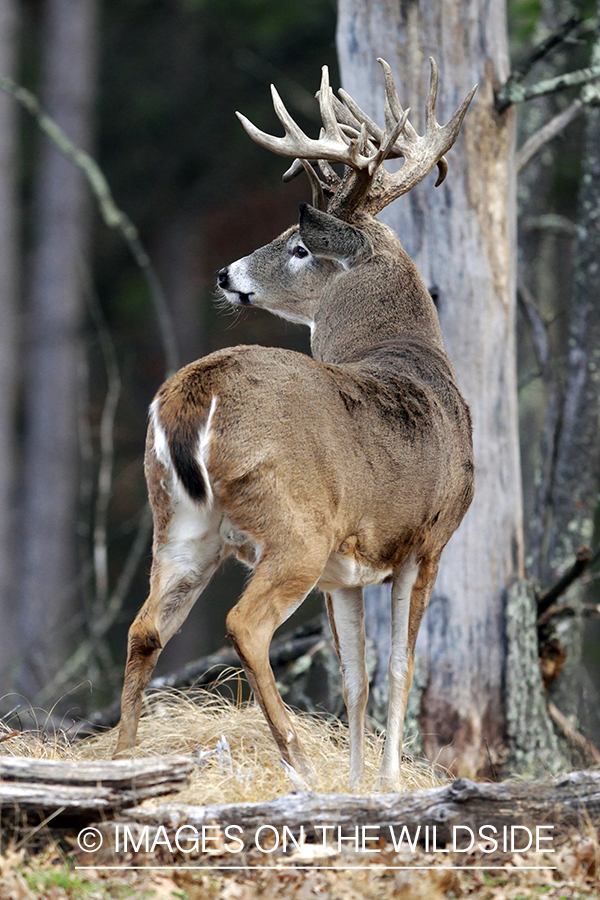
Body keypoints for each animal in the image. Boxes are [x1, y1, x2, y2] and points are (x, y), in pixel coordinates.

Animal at [115, 58, 476, 788]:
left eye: (301, 247)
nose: (225, 273)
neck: (410, 355)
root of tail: (195, 391)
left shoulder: (352, 568)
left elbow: (357, 676)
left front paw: (362, 784)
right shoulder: (429, 539)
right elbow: (399, 670)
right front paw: (390, 783)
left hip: (180, 521)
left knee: (144, 630)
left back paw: (124, 763)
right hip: (293, 522)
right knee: (244, 624)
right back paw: (298, 763)